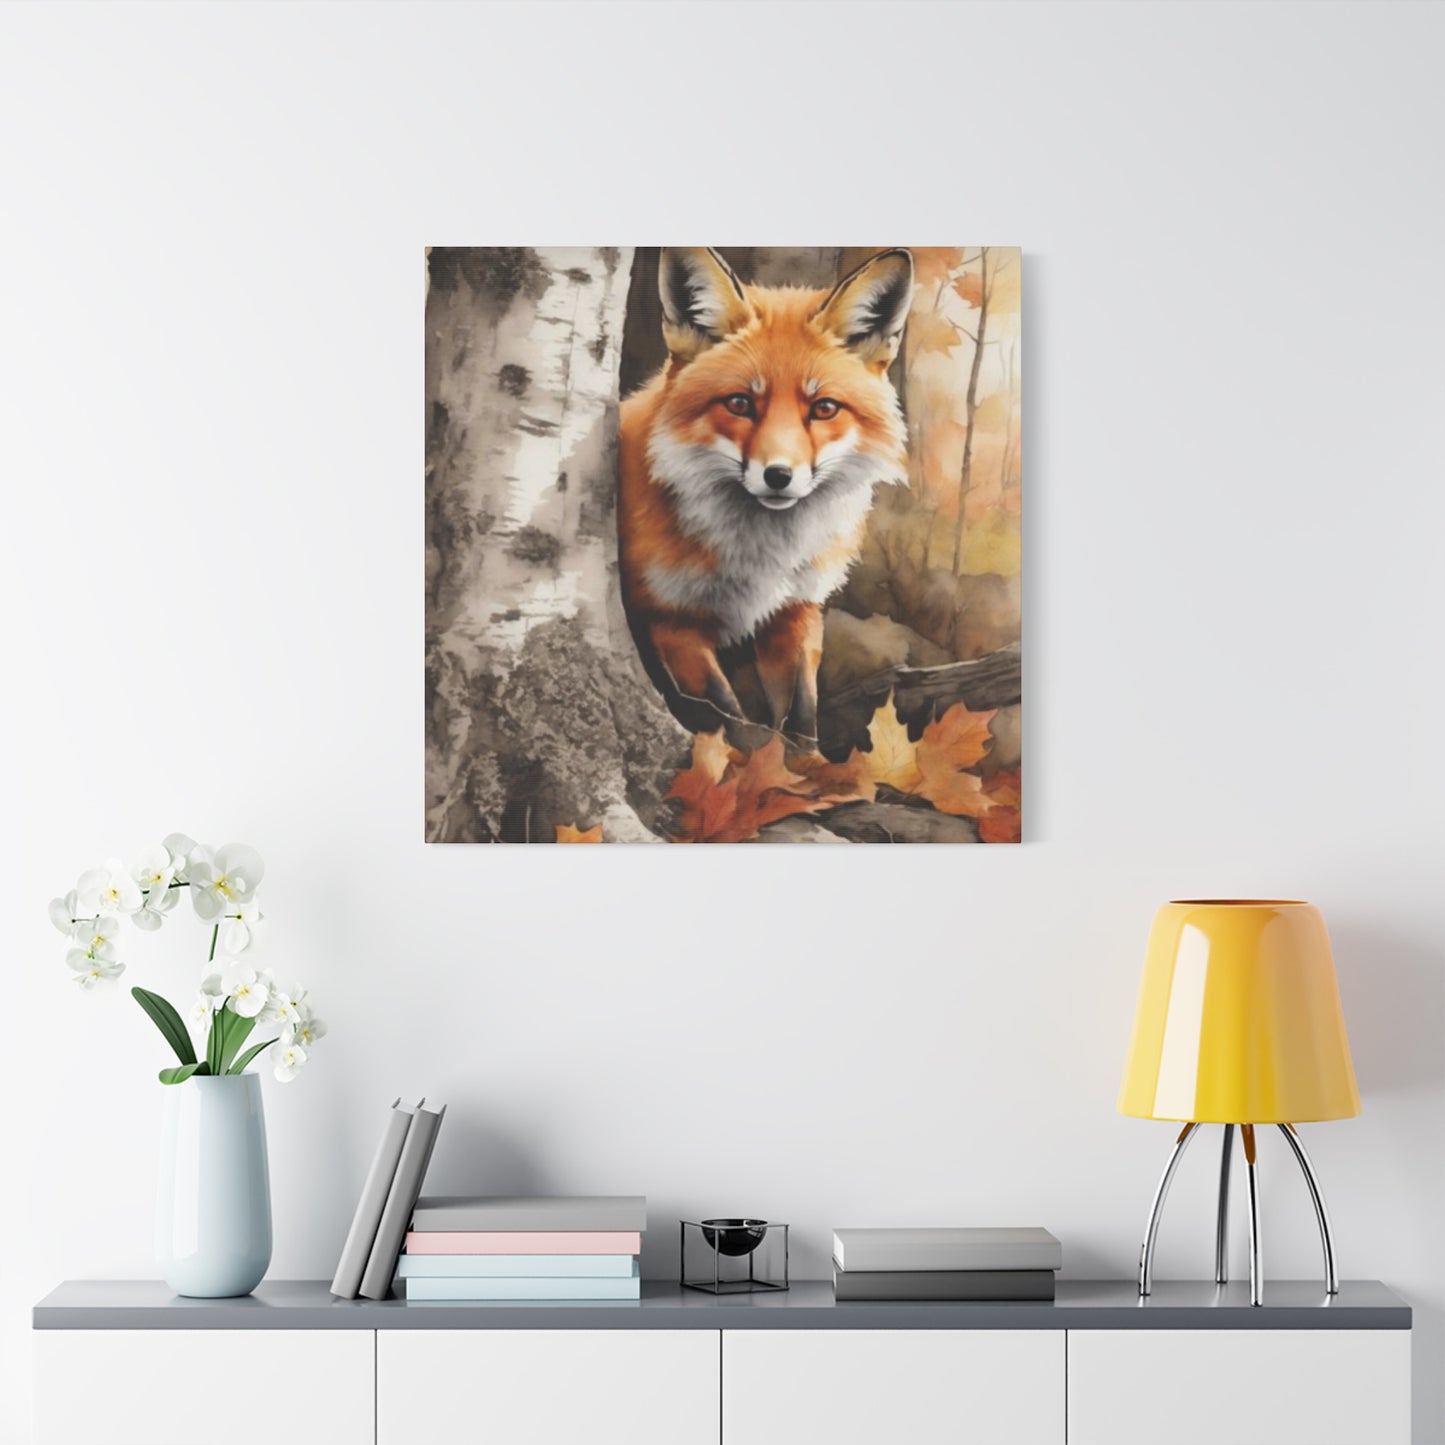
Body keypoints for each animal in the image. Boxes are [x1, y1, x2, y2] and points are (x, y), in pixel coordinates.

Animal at [618, 246, 913, 745]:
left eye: (823, 408)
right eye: (740, 403)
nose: (778, 476)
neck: (762, 557)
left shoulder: (796, 611)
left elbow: (800, 717)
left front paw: (807, 764)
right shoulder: (671, 620)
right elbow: (731, 721)